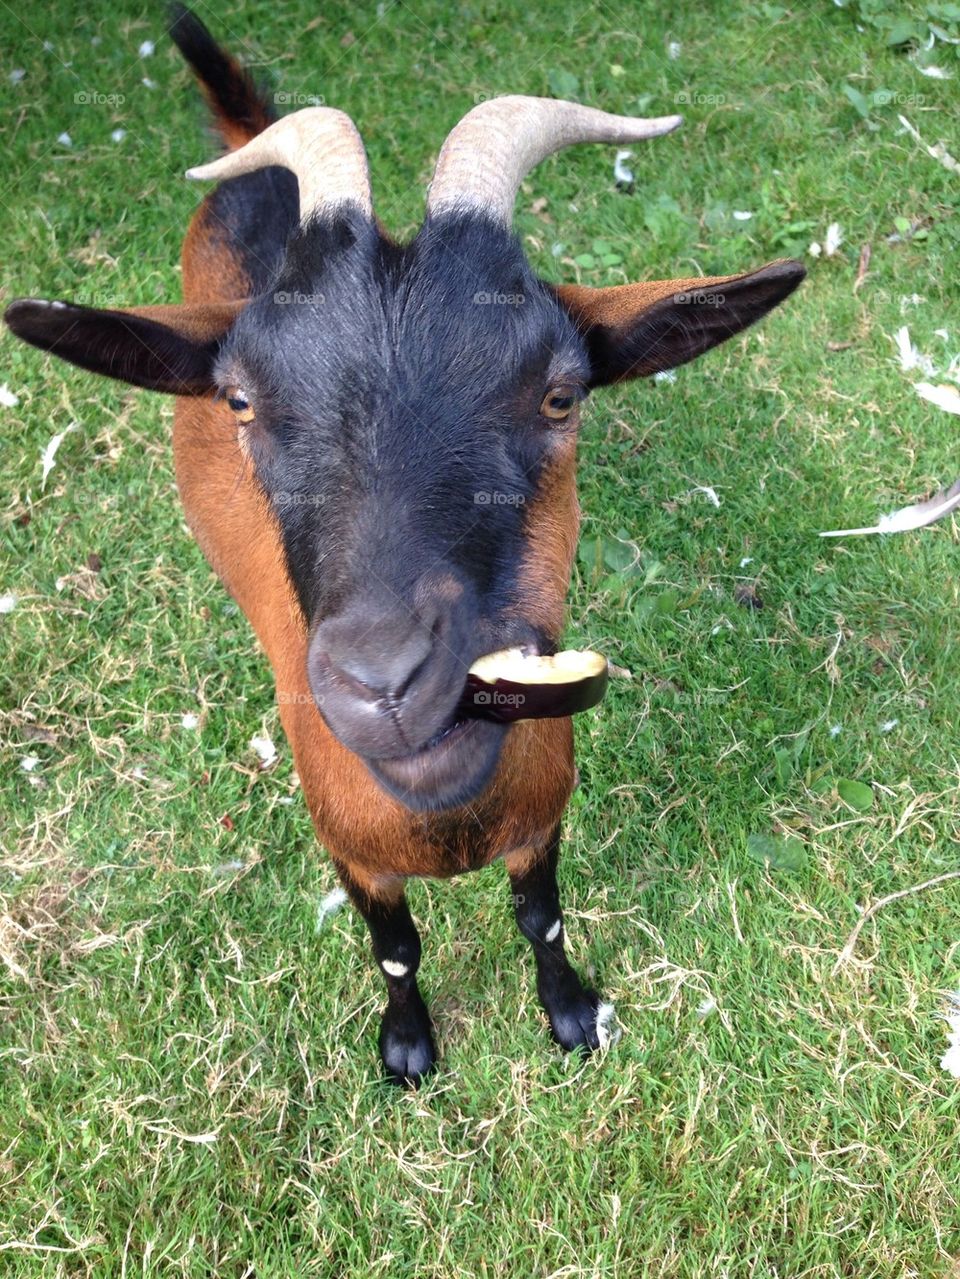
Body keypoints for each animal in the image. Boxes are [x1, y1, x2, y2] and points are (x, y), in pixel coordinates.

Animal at [4, 6, 804, 1085]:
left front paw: (571, 1014)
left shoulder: (543, 814)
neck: (446, 826)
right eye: (240, 401)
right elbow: (396, 947)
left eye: (561, 393)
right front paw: (410, 1046)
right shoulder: (351, 851)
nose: (385, 681)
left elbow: (542, 920)